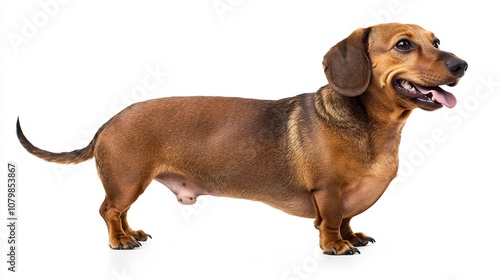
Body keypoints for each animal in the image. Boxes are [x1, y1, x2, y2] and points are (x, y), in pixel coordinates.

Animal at [17, 23, 466, 255]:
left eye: (437, 41)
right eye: (403, 44)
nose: (462, 64)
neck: (373, 129)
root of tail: (110, 120)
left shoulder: (347, 197)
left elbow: (348, 217)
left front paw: (352, 236)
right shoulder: (328, 191)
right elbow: (332, 220)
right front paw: (336, 246)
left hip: (130, 183)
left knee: (120, 211)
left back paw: (133, 234)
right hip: (128, 180)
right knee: (108, 211)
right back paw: (119, 242)